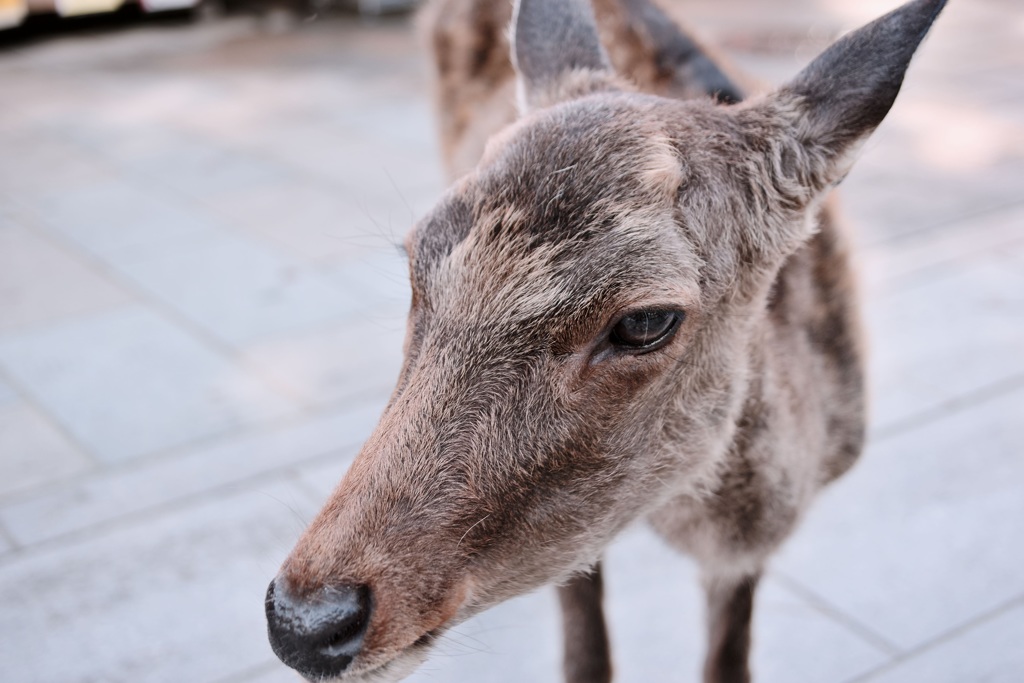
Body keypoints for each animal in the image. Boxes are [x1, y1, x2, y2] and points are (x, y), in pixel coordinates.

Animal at [262, 0, 942, 679]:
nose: (304, 620)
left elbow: (728, 659)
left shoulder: (743, 553)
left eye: (646, 321)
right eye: (414, 259)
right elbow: (586, 655)